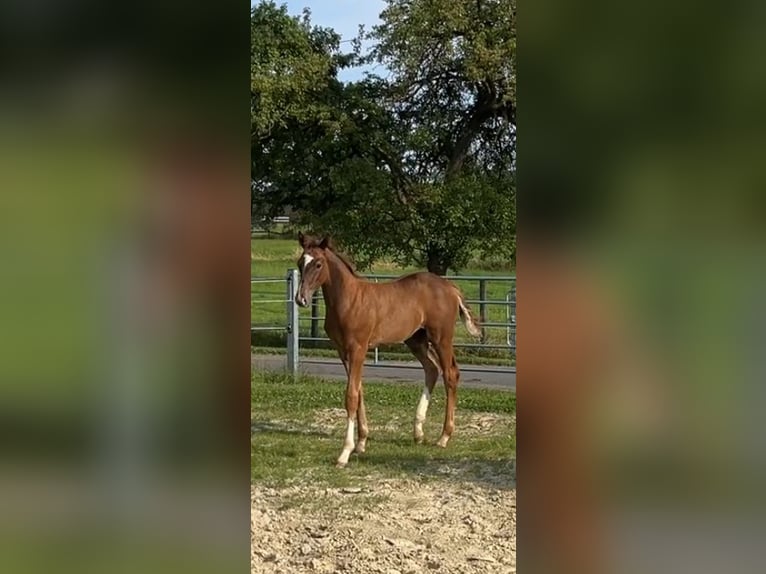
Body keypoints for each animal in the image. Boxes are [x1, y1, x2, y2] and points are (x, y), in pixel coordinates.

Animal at [294, 234, 480, 468]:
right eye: (300, 263)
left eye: (318, 264)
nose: (300, 299)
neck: (349, 300)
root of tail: (451, 287)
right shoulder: (343, 352)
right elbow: (359, 391)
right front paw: (361, 442)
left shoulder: (358, 349)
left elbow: (351, 396)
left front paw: (345, 453)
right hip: (415, 340)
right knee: (431, 369)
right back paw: (418, 432)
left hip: (441, 339)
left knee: (450, 374)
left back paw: (444, 437)